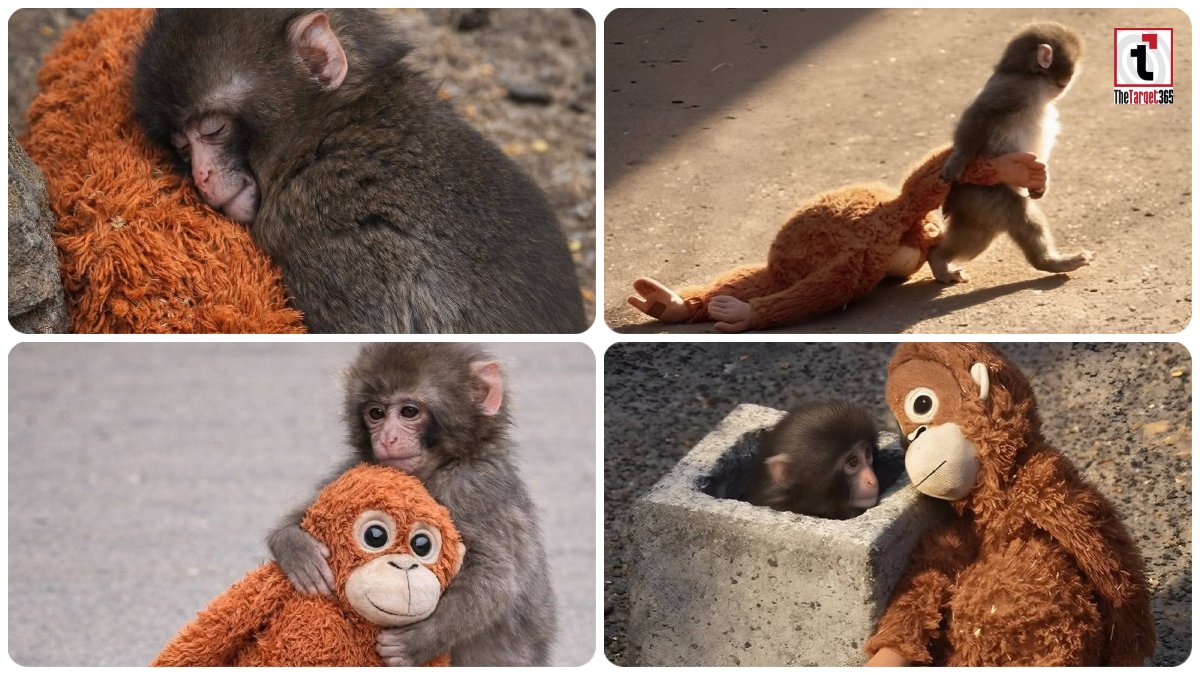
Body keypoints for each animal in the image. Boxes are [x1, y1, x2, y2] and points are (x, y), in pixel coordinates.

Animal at [266, 343, 556, 666]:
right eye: (376, 413)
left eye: (409, 411)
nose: (387, 438)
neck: (437, 467)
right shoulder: (359, 467)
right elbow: (307, 513)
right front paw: (297, 550)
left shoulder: (473, 487)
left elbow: (495, 577)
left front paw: (415, 643)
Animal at [931, 22, 1091, 284]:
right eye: (1072, 69)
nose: (1069, 80)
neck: (1031, 80)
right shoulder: (1013, 90)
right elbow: (980, 114)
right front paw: (957, 160)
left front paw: (1040, 184)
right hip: (980, 193)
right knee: (1016, 213)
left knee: (976, 237)